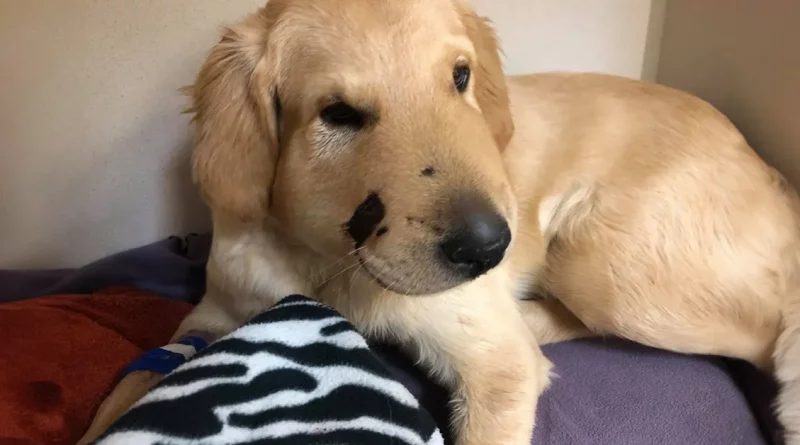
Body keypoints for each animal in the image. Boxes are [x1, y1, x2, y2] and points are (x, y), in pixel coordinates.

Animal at [83, 0, 800, 444]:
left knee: (760, 338)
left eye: (460, 77)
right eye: (338, 113)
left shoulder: (496, 365)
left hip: (606, 265)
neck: (326, 264)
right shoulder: (211, 317)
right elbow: (128, 388)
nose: (491, 247)